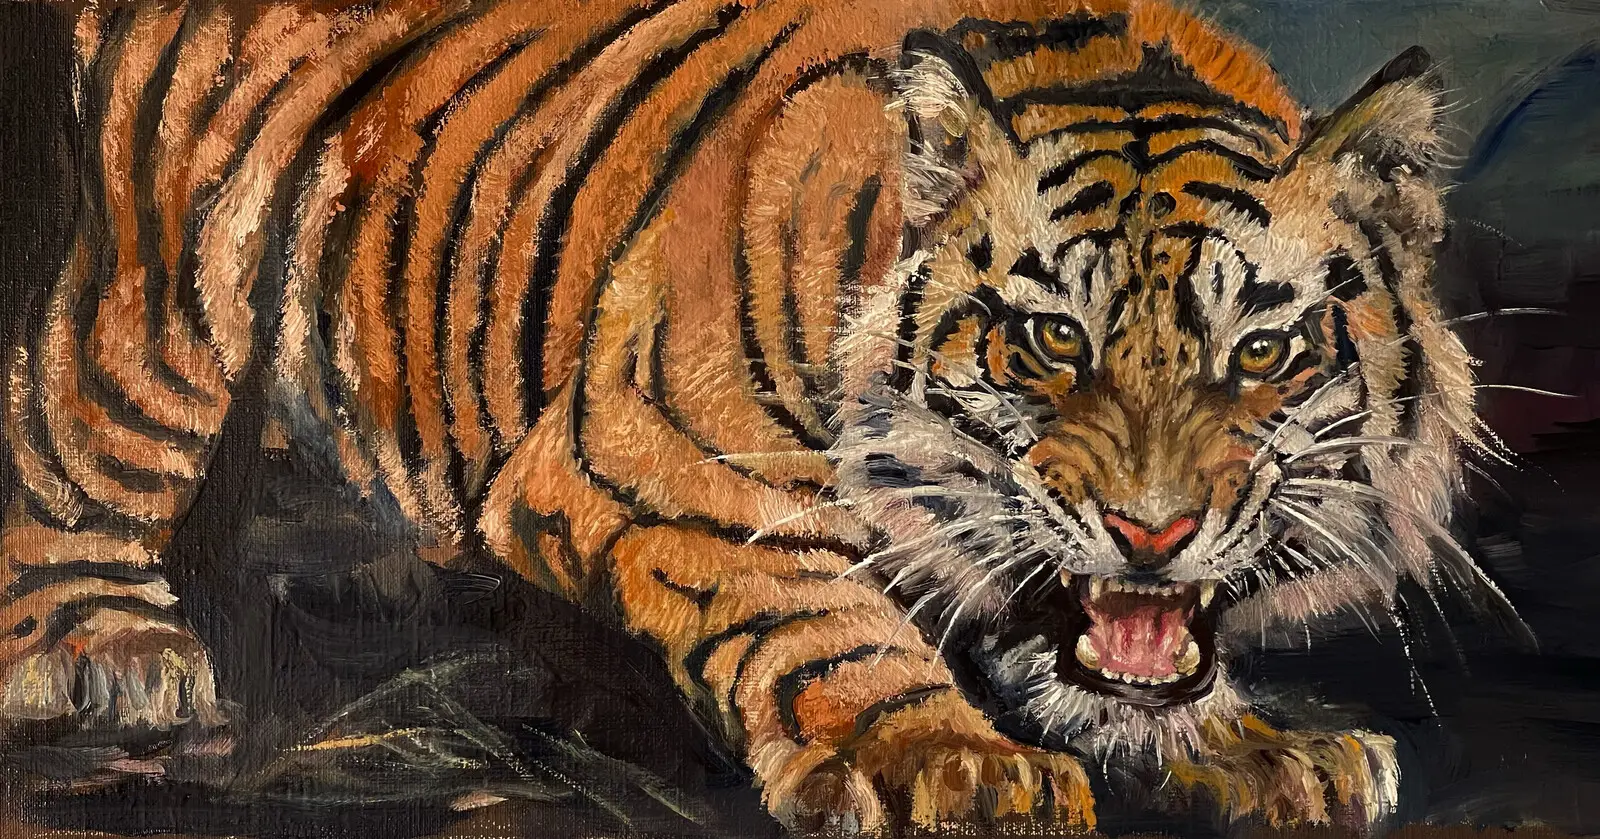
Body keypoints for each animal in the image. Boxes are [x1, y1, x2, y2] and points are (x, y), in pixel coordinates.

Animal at [0, 0, 1497, 832]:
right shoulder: (661, 465)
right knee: (67, 439)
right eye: (1051, 339)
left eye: (1264, 348)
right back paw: (105, 647)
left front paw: (1258, 746)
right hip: (168, 287)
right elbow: (829, 625)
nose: (1153, 529)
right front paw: (953, 760)